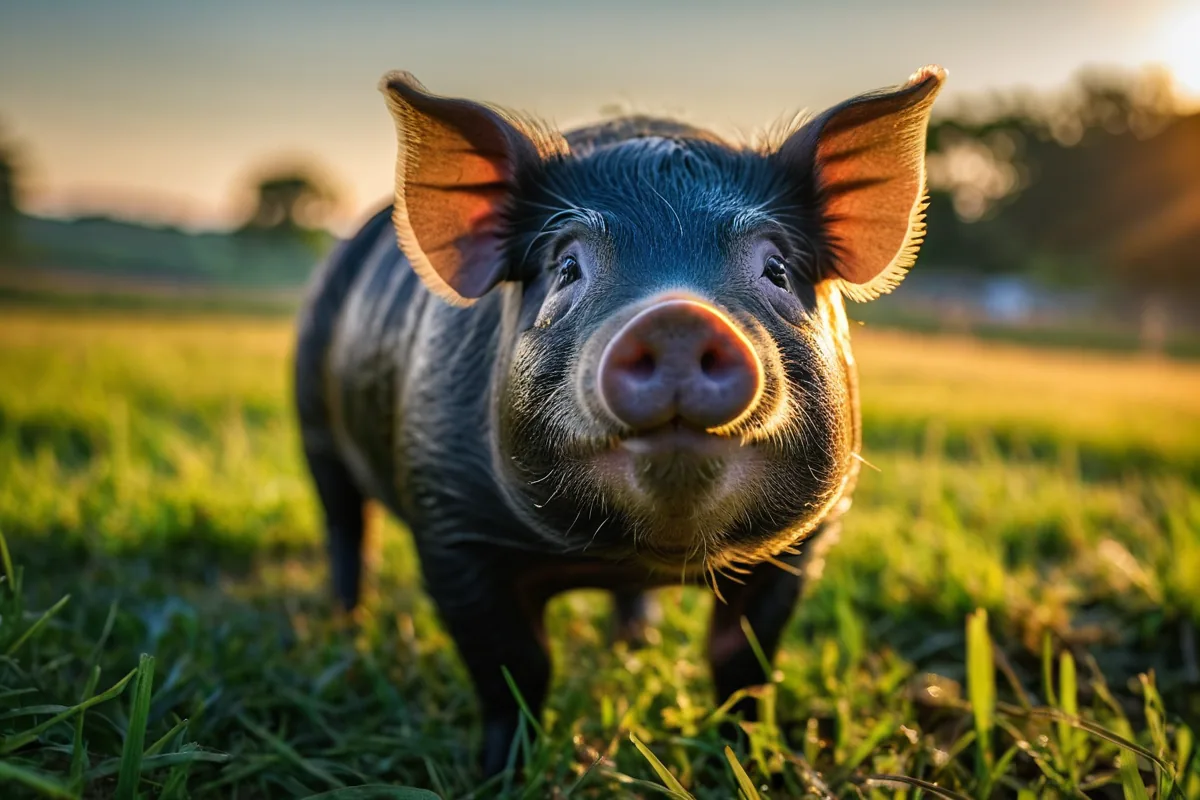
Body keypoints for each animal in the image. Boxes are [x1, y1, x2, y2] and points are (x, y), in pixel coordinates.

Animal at [294, 65, 945, 776]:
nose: (678, 316)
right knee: (344, 525)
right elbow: (513, 668)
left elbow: (743, 664)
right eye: (567, 268)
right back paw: (344, 627)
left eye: (775, 268)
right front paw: (499, 775)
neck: (635, 553)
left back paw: (635, 644)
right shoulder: (450, 522)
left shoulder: (805, 543)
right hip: (313, 421)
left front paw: (751, 764)